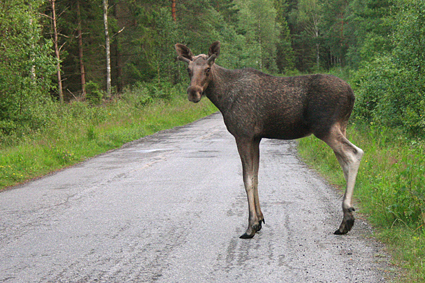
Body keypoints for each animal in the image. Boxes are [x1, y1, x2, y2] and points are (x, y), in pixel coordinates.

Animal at [174, 40, 362, 240]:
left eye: (208, 69)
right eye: (188, 69)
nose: (193, 92)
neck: (222, 99)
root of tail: (352, 95)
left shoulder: (243, 135)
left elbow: (247, 179)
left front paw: (250, 226)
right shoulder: (255, 138)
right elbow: (255, 177)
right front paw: (259, 220)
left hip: (325, 128)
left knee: (354, 154)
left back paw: (346, 217)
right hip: (341, 126)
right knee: (345, 163)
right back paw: (347, 218)